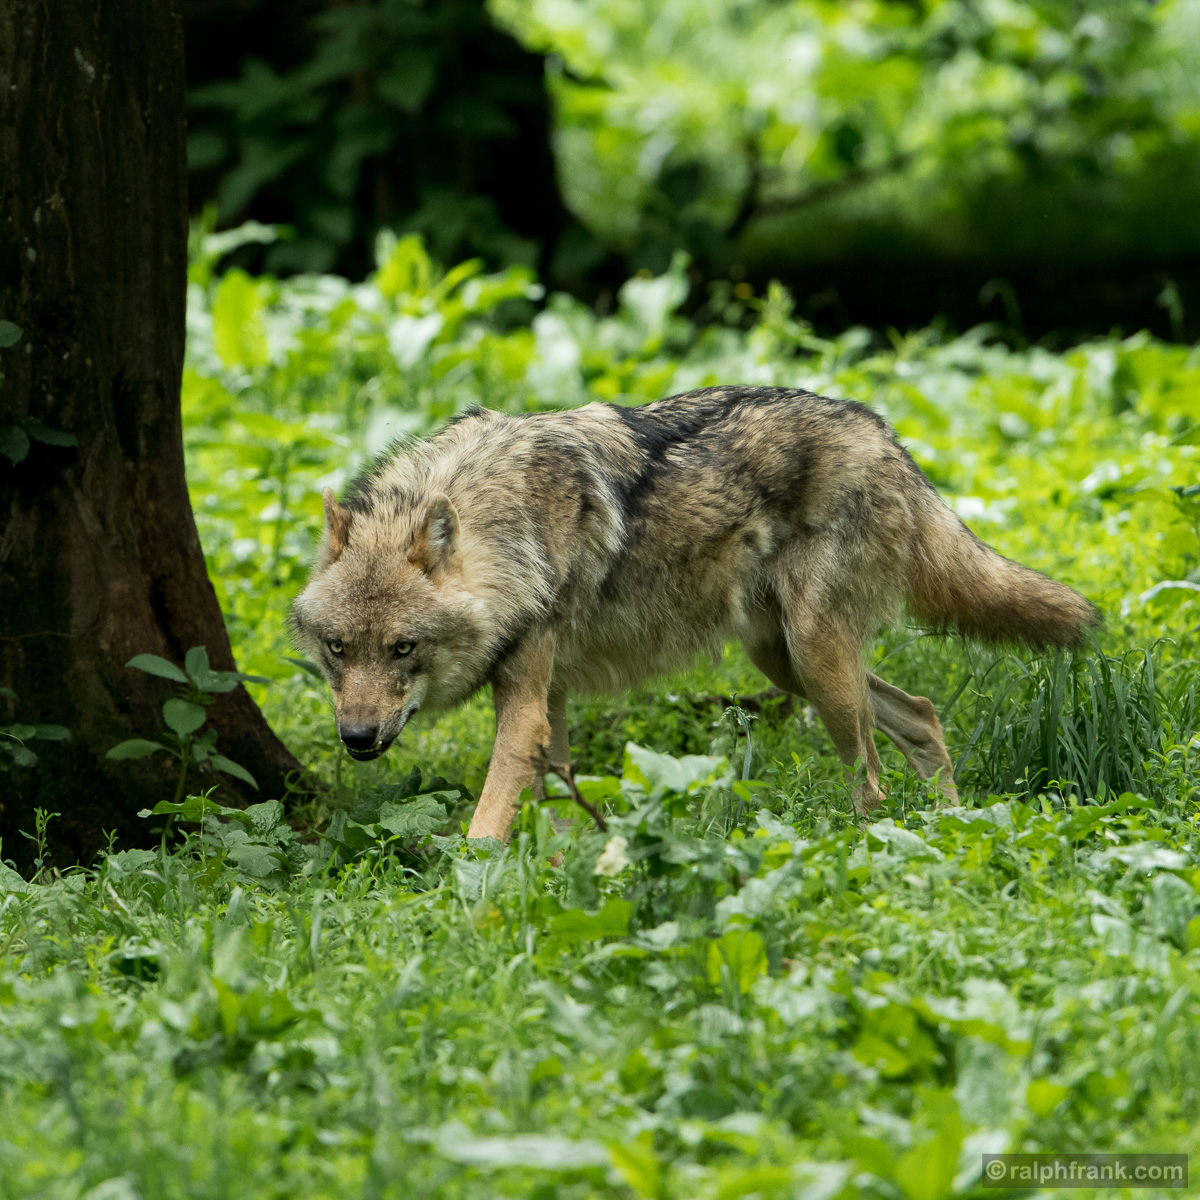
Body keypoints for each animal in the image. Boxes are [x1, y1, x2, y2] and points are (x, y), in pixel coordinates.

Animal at [291, 386, 1098, 841]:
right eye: (338, 648)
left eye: (404, 649)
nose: (355, 739)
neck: (502, 514)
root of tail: (883, 434)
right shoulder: (548, 698)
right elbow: (553, 799)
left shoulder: (524, 701)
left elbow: (486, 826)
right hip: (788, 662)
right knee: (924, 715)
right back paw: (951, 830)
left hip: (815, 663)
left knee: (873, 777)